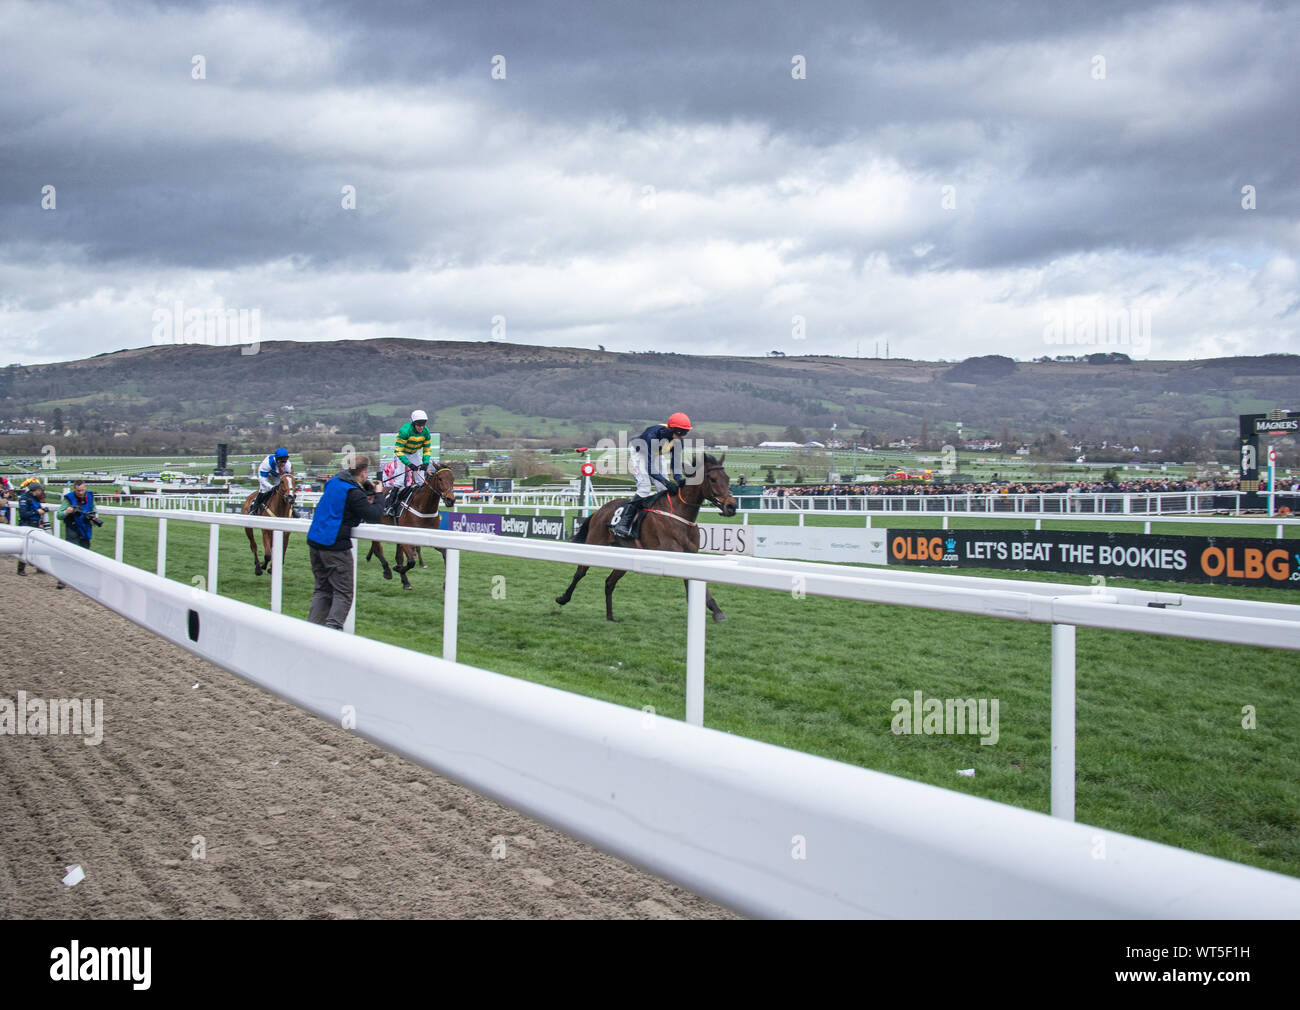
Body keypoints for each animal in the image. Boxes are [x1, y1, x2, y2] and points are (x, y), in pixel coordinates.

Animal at [553, 452, 738, 618]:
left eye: (728, 478)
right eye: (713, 479)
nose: (732, 506)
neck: (681, 513)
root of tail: (599, 511)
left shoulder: (691, 554)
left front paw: (714, 608)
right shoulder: (672, 551)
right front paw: (715, 610)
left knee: (609, 582)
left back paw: (610, 616)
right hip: (595, 542)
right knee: (580, 572)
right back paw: (563, 598)